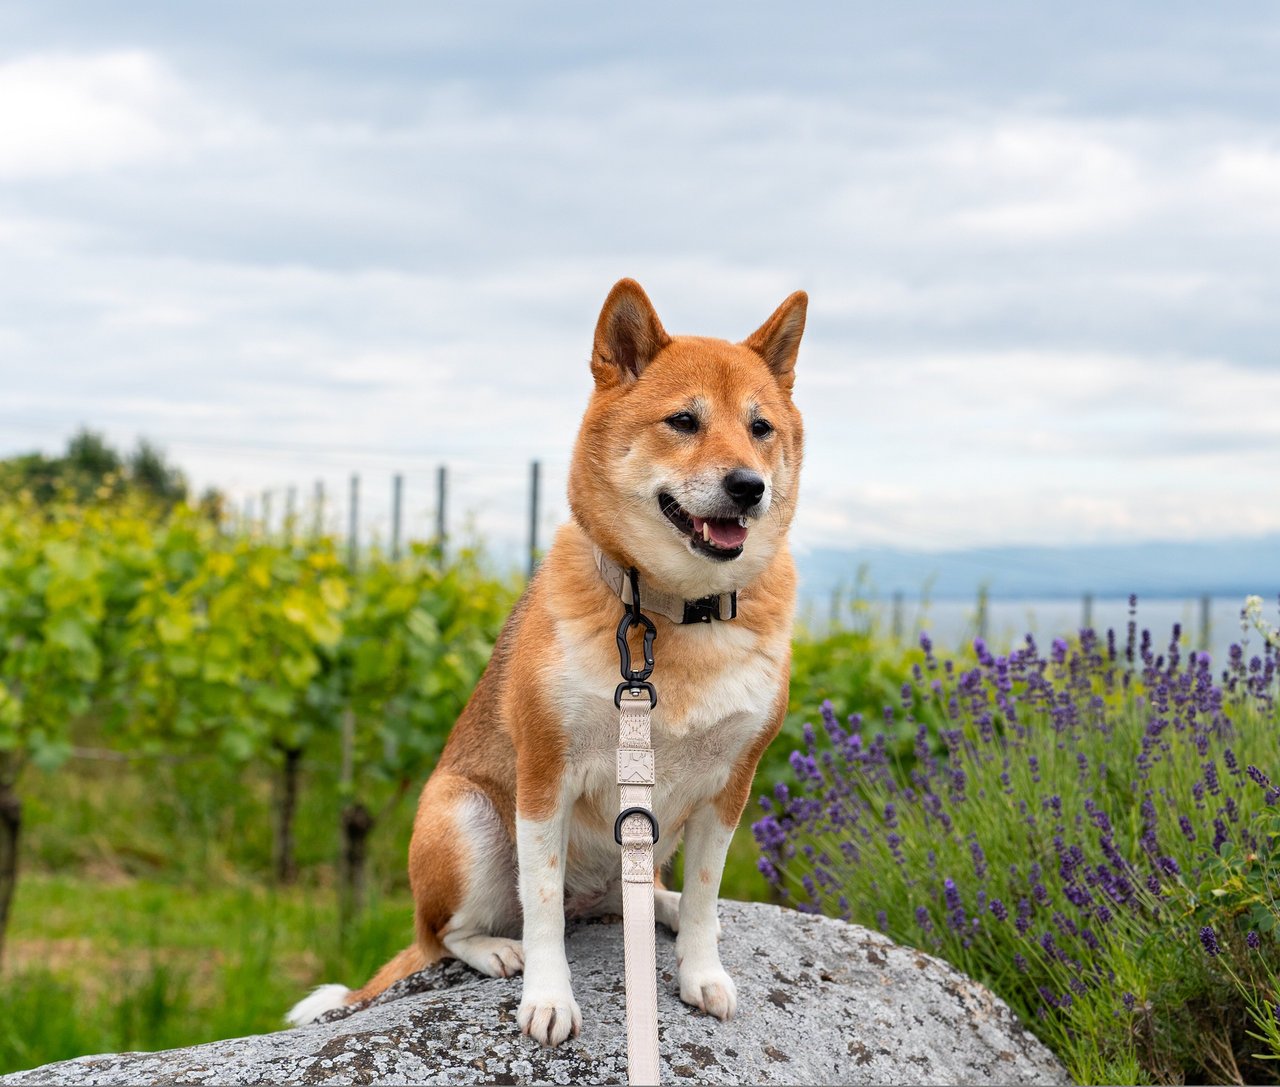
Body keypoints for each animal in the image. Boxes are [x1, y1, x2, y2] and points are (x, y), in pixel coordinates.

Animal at [291, 277, 808, 1044]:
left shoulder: (731, 786)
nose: (748, 485)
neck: (673, 613)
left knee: (634, 894)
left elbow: (708, 896)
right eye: (684, 420)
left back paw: (658, 904)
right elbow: (538, 908)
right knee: (449, 935)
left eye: (761, 427)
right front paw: (547, 995)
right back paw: (494, 948)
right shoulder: (544, 774)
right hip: (463, 818)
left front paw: (700, 970)